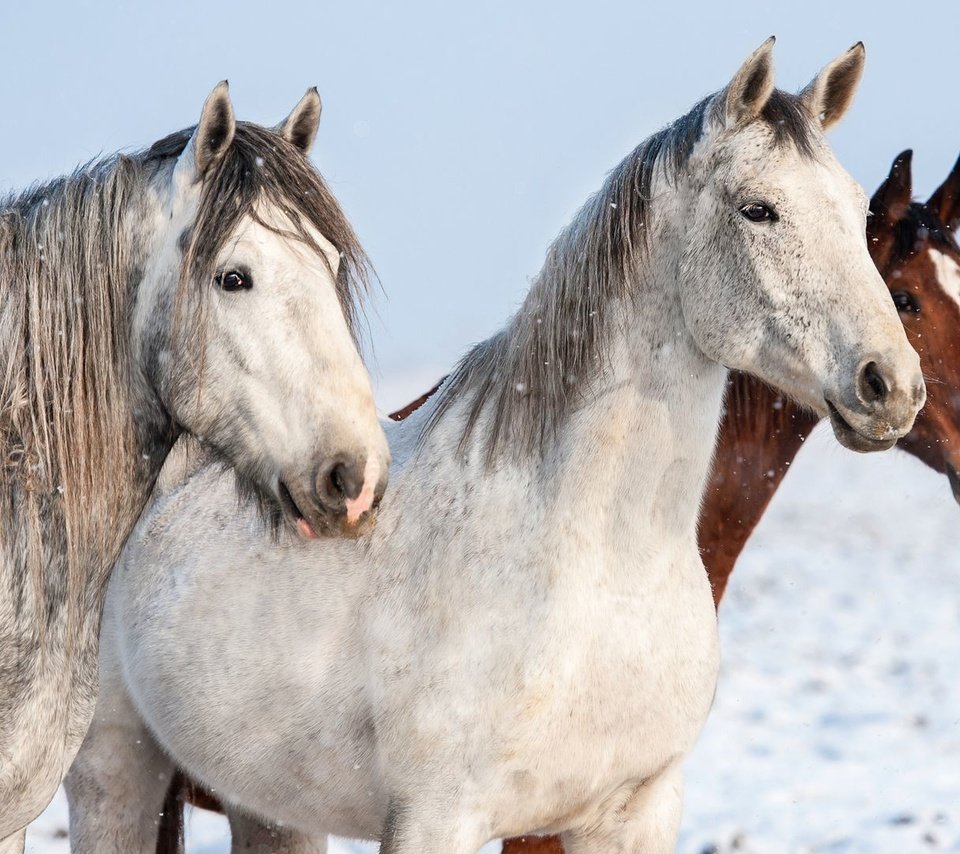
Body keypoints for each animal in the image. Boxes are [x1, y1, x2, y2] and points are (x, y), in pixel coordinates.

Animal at [65, 41, 924, 854]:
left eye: (857, 212)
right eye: (758, 210)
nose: (891, 385)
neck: (596, 569)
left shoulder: (637, 815)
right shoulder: (435, 818)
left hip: (270, 808)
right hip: (115, 769)